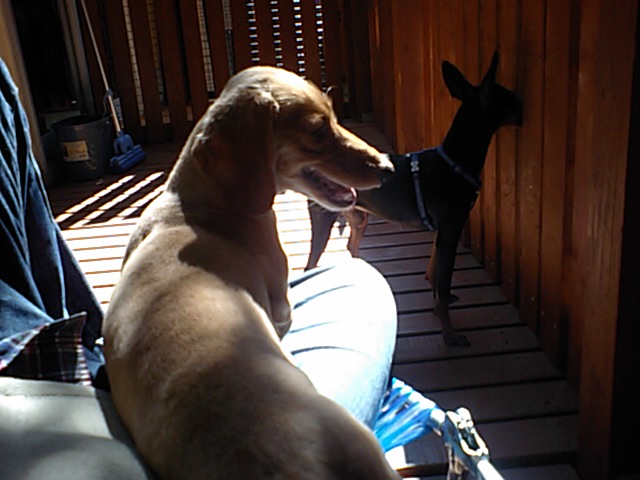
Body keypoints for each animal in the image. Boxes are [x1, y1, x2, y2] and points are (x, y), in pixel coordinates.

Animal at [305, 52, 523, 347]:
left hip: (358, 217)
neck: (455, 161)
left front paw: (440, 303)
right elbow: (443, 283)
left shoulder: (443, 233)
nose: (524, 109)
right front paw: (450, 335)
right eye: (511, 99)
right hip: (324, 219)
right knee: (310, 265)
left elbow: (435, 276)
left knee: (351, 247)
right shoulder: (450, 231)